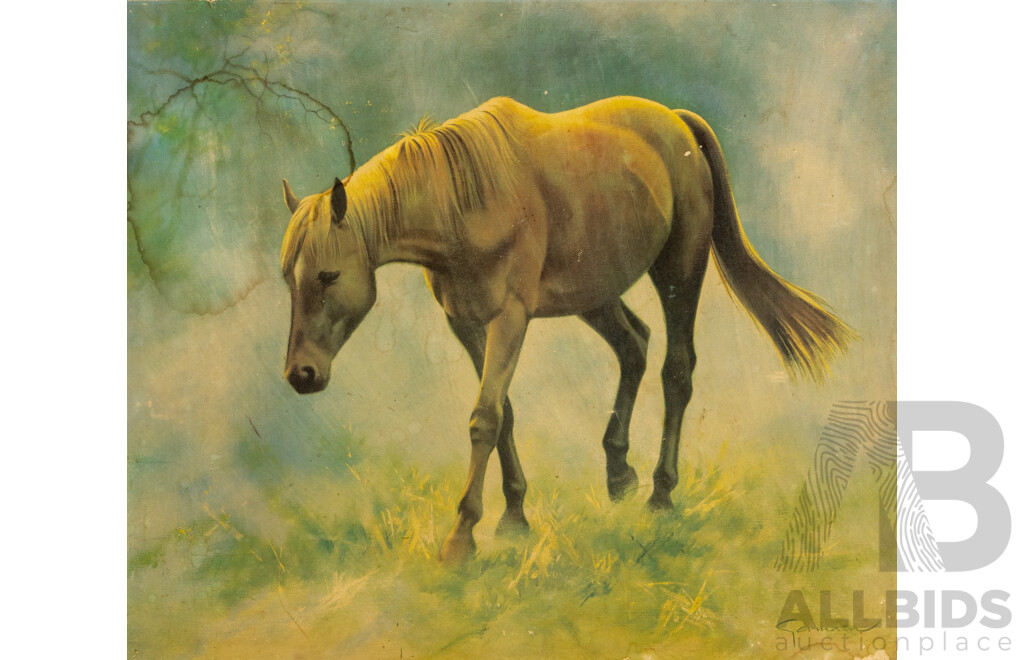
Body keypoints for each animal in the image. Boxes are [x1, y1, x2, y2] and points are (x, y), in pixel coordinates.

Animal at [279, 96, 854, 563]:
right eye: (288, 276)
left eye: (328, 275)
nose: (300, 375)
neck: (466, 200)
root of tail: (677, 121)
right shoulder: (467, 325)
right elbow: (504, 414)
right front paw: (514, 517)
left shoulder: (510, 318)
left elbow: (485, 418)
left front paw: (462, 537)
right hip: (594, 294)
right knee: (634, 346)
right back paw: (619, 475)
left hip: (680, 272)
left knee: (676, 370)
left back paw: (661, 494)